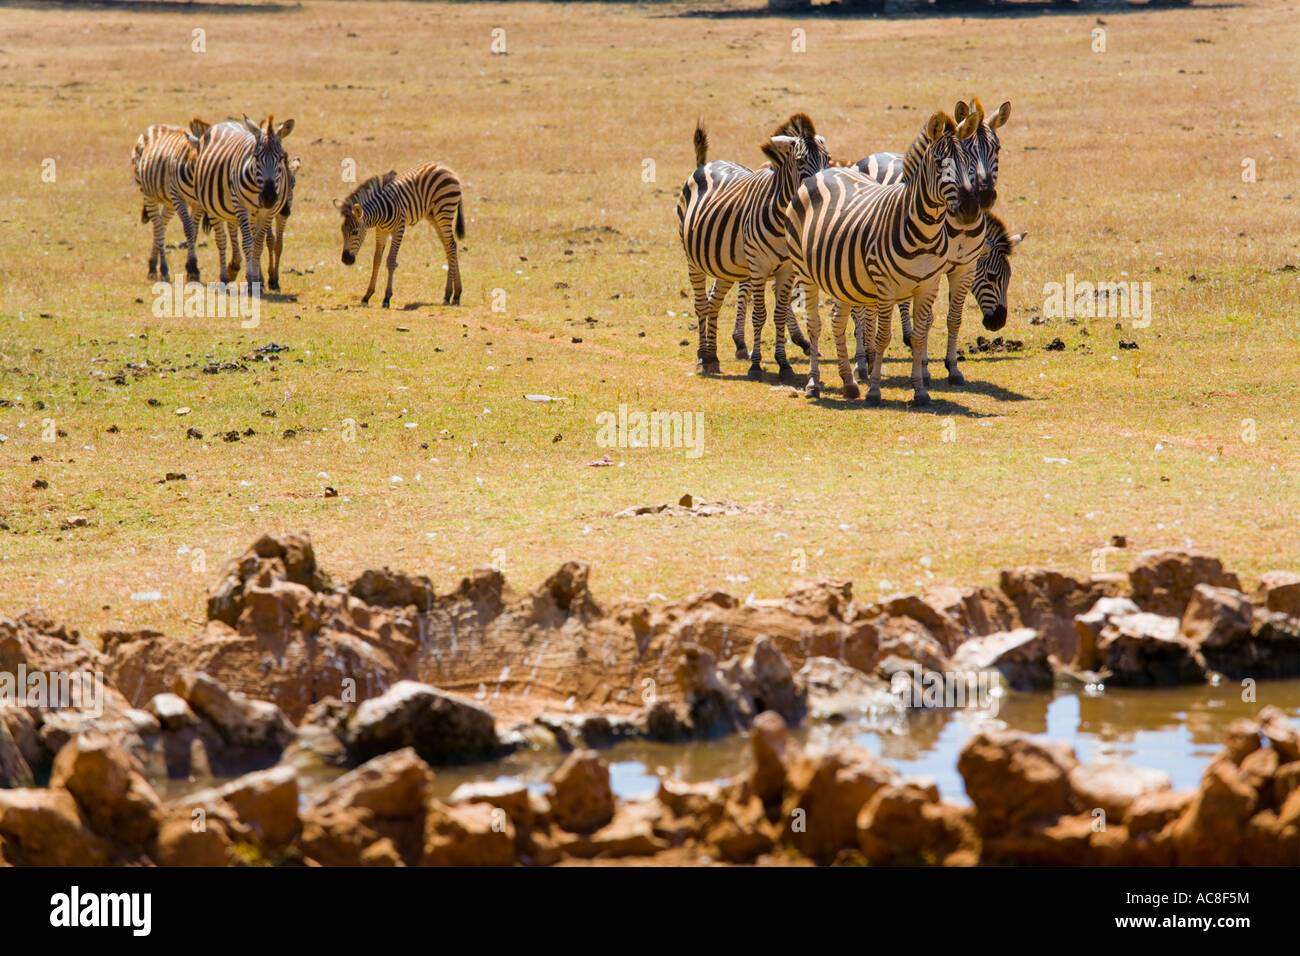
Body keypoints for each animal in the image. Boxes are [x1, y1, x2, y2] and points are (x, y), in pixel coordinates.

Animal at [131, 118, 210, 282]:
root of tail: (154, 126)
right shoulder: (178, 197)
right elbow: (189, 229)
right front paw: (193, 267)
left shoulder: (198, 204)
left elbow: (195, 231)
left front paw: (191, 269)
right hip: (149, 195)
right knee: (158, 228)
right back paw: (163, 269)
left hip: (169, 202)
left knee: (161, 224)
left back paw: (152, 265)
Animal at [188, 113, 295, 291]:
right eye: (256, 157)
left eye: (280, 158)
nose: (269, 197)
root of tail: (224, 123)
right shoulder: (241, 206)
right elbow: (247, 243)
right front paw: (252, 280)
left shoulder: (267, 213)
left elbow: (257, 245)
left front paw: (257, 279)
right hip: (213, 207)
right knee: (221, 240)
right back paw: (224, 277)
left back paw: (235, 268)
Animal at [332, 161, 465, 306]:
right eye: (342, 231)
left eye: (355, 232)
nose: (345, 260)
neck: (381, 211)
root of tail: (446, 168)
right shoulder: (381, 231)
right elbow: (377, 259)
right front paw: (367, 296)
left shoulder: (399, 229)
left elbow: (391, 260)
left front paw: (387, 298)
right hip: (433, 215)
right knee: (450, 247)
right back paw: (456, 294)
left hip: (444, 210)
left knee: (451, 246)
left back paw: (447, 295)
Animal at [676, 113, 826, 379]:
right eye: (800, 161)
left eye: (827, 159)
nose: (818, 189)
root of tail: (706, 165)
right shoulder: (758, 266)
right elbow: (759, 315)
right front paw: (756, 365)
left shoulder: (786, 269)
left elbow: (778, 314)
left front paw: (783, 364)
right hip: (694, 260)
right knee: (701, 304)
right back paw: (703, 357)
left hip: (726, 264)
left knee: (714, 301)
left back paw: (713, 356)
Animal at [774, 110, 977, 405]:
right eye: (940, 163)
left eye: (969, 162)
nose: (970, 209)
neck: (924, 231)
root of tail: (824, 171)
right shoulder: (885, 286)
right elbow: (882, 337)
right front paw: (874, 390)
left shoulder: (928, 285)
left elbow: (918, 336)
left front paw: (920, 390)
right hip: (804, 270)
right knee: (814, 324)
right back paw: (813, 384)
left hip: (842, 278)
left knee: (837, 322)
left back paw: (848, 383)